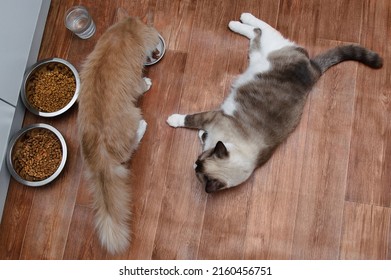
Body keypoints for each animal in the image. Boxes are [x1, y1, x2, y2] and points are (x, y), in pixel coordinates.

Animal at [77, 13, 160, 254]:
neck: (121, 35)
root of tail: (100, 158)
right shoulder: (135, 79)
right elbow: (141, 84)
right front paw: (147, 81)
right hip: (133, 113)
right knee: (133, 144)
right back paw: (143, 126)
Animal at [166, 12, 382, 192]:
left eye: (199, 164)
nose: (194, 164)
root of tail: (313, 69)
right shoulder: (212, 117)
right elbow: (191, 119)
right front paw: (174, 120)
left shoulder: (214, 122)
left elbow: (193, 124)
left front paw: (176, 122)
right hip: (266, 50)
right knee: (260, 29)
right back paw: (240, 19)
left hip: (258, 53)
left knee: (256, 34)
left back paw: (237, 22)